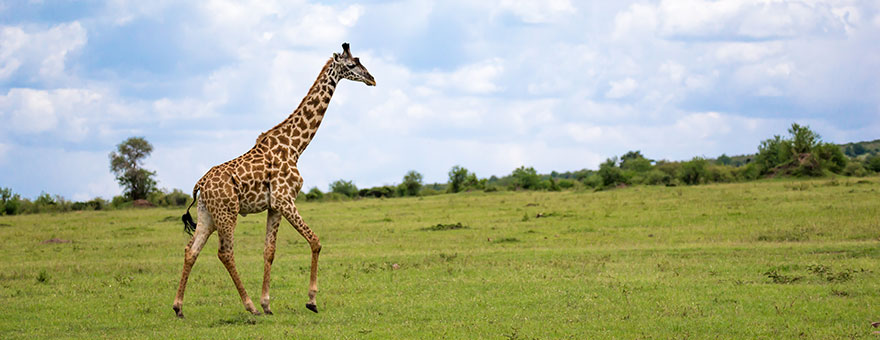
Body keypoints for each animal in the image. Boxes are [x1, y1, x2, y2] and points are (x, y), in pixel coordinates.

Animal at [172, 43, 374, 318]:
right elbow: (315, 241)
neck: (295, 147)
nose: (372, 79)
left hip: (208, 215)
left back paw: (178, 307)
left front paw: (267, 303)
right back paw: (249, 306)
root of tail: (199, 186)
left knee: (191, 250)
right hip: (227, 212)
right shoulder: (285, 199)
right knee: (225, 253)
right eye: (352, 64)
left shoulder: (275, 206)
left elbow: (269, 251)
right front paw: (311, 300)